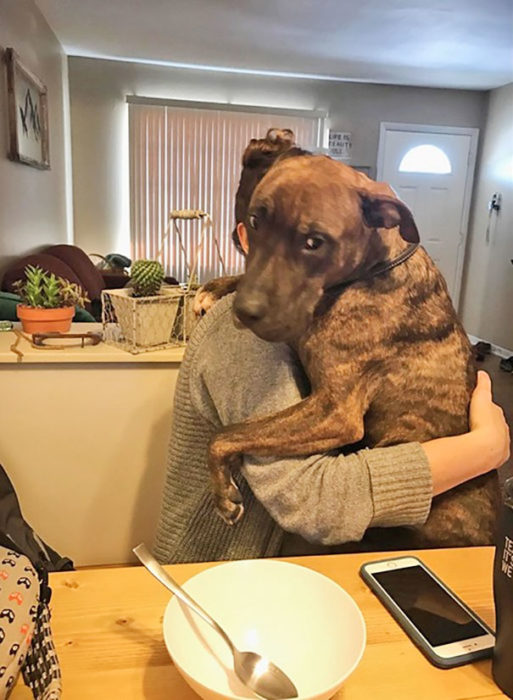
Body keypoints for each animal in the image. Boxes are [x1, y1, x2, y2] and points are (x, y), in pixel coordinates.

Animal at [205, 152, 496, 548]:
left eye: (314, 242)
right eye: (254, 221)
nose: (246, 312)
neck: (372, 269)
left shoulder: (335, 411)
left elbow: (227, 434)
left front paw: (222, 493)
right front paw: (216, 287)